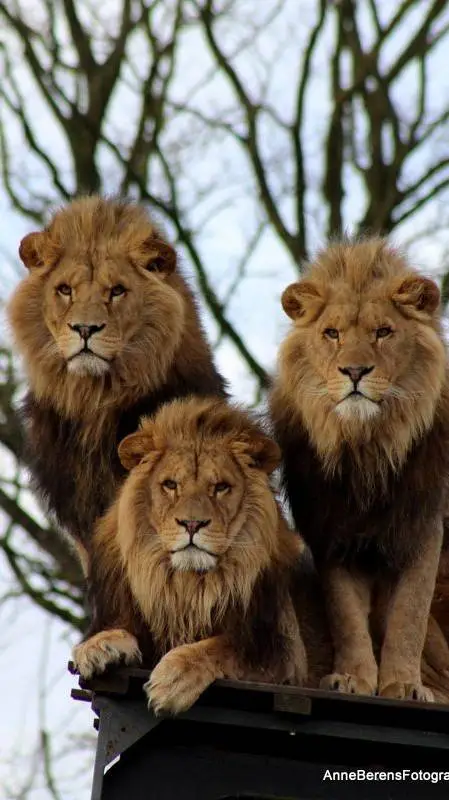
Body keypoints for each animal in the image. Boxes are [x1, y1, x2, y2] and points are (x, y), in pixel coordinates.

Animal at [72, 397, 307, 715]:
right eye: (171, 485)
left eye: (221, 487)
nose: (192, 524)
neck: (187, 588)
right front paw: (99, 646)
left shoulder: (284, 658)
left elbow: (222, 648)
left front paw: (174, 678)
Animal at [270, 236, 449, 702]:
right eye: (331, 333)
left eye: (383, 332)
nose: (354, 371)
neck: (369, 445)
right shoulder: (332, 530)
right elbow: (346, 615)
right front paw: (353, 678)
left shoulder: (423, 524)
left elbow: (410, 613)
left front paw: (405, 685)